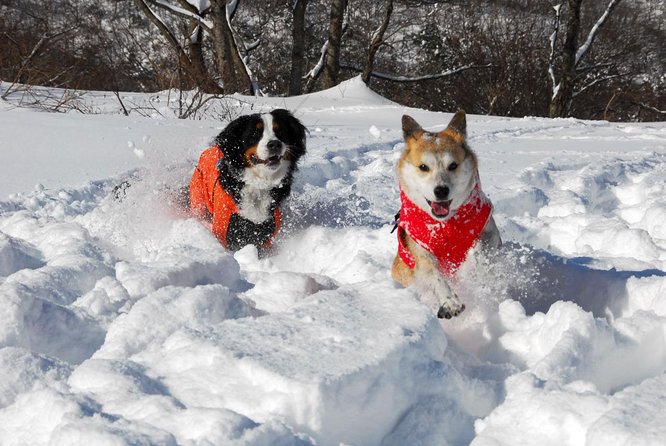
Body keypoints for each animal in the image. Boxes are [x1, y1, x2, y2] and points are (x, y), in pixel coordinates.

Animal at [188, 108, 308, 251]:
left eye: (280, 131)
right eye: (255, 133)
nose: (275, 144)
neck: (259, 184)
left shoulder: (267, 229)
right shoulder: (226, 227)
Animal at [392, 111, 496, 320]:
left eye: (453, 165)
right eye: (423, 167)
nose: (441, 190)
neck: (443, 224)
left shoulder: (489, 229)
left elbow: (483, 249)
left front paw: (476, 269)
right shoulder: (420, 248)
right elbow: (435, 276)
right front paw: (450, 302)